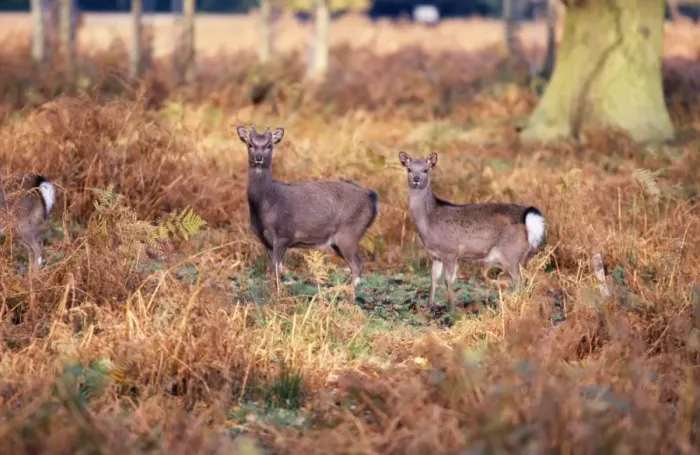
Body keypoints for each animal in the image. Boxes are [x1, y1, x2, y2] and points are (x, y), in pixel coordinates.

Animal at [237, 126, 379, 294]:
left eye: (269, 145)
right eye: (250, 144)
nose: (259, 158)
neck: (267, 203)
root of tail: (372, 197)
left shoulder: (284, 234)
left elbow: (276, 269)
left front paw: (277, 295)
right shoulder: (265, 240)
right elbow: (275, 269)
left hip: (350, 231)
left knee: (358, 264)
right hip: (339, 241)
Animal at [398, 151, 546, 311]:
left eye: (425, 170)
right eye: (409, 169)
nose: (416, 179)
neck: (428, 223)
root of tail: (528, 218)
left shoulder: (450, 251)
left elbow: (448, 279)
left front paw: (452, 307)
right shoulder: (435, 255)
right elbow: (433, 278)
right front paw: (429, 306)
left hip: (511, 252)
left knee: (519, 279)